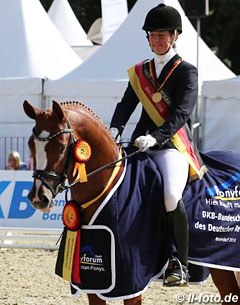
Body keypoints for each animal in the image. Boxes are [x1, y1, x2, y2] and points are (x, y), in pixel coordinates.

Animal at [23, 100, 240, 304]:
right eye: (31, 144)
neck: (109, 183)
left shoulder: (131, 279)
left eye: (61, 146)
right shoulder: (93, 280)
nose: (38, 198)